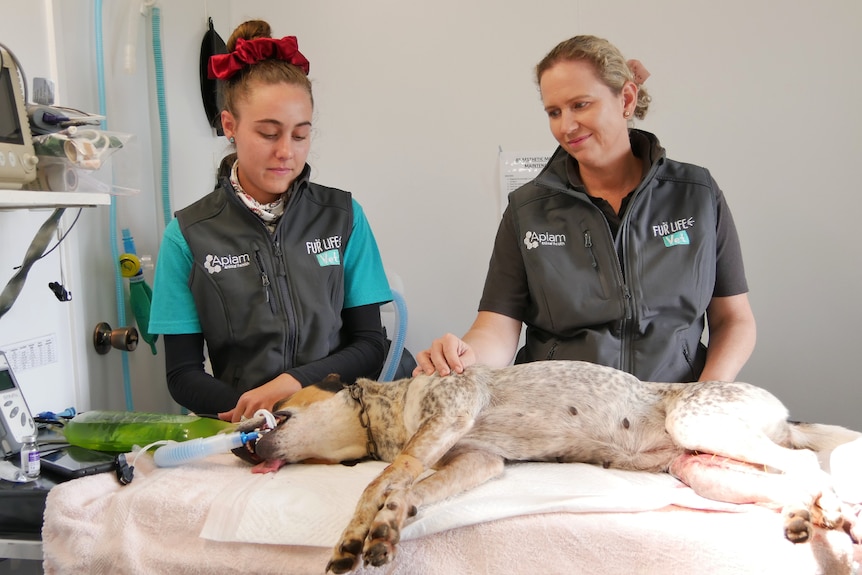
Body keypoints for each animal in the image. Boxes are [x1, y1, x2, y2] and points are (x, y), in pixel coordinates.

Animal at [236, 358, 862, 572]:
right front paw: (389, 525)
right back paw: (813, 518)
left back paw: (831, 516)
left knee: (805, 461)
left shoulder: (451, 414)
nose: (238, 445)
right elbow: (412, 491)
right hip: (702, 468)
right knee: (795, 479)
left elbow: (382, 483)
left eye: (278, 407)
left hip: (700, 424)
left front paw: (357, 533)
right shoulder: (478, 462)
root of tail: (786, 416)